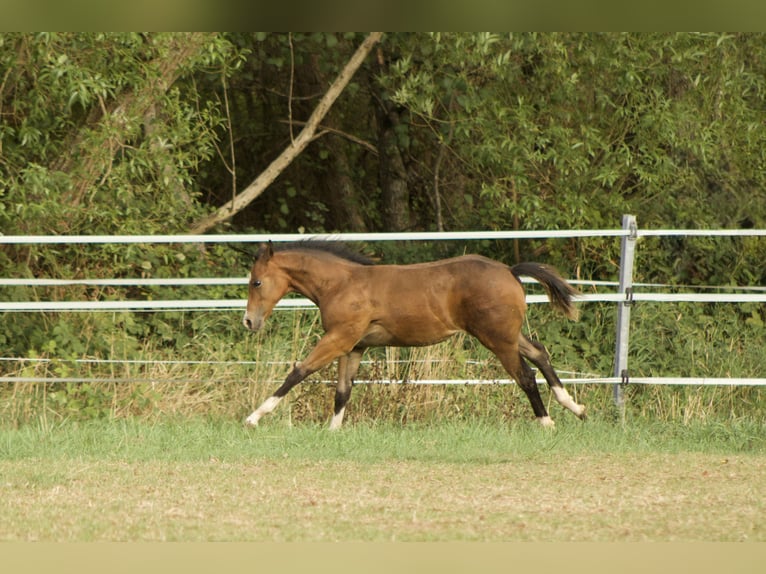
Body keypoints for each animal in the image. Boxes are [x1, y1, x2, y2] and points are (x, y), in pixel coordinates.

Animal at [242, 241, 586, 429]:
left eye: (256, 282)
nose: (249, 322)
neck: (341, 284)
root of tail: (510, 271)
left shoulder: (338, 339)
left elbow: (299, 371)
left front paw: (254, 417)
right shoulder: (354, 346)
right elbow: (343, 391)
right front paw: (332, 431)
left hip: (498, 339)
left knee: (525, 375)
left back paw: (547, 422)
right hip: (507, 336)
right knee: (539, 352)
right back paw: (575, 407)